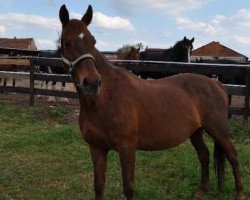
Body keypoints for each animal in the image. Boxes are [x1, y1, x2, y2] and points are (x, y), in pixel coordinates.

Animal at [59, 4, 246, 200]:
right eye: (67, 42)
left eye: (93, 41)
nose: (92, 82)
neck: (104, 99)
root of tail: (216, 83)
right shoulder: (96, 148)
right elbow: (99, 186)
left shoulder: (127, 148)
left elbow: (128, 188)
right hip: (196, 131)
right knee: (204, 155)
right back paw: (202, 191)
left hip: (219, 130)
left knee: (232, 155)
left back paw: (240, 193)